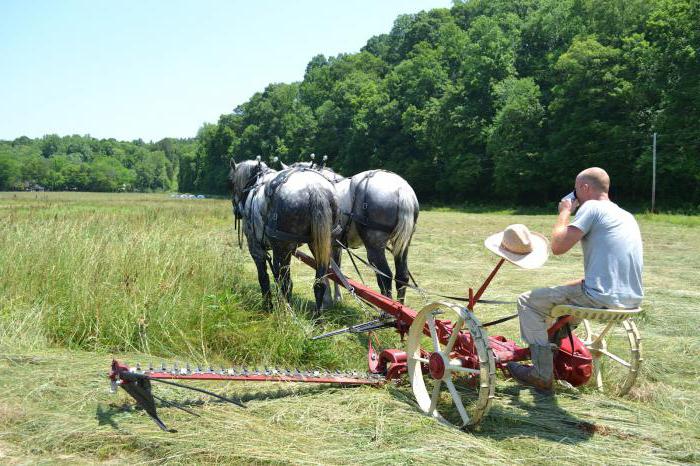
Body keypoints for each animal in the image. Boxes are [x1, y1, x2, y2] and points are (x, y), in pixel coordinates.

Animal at [230, 158, 340, 314]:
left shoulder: (256, 248)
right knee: (319, 283)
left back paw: (285, 312)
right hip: (320, 245)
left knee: (285, 282)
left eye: (231, 182)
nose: (236, 210)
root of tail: (315, 188)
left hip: (282, 248)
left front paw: (267, 306)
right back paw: (317, 317)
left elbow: (263, 277)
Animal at [288, 162, 418, 304]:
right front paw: (337, 297)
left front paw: (327, 299)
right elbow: (335, 270)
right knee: (402, 276)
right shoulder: (335, 245)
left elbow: (324, 267)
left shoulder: (318, 244)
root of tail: (401, 189)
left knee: (385, 276)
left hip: (374, 247)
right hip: (402, 244)